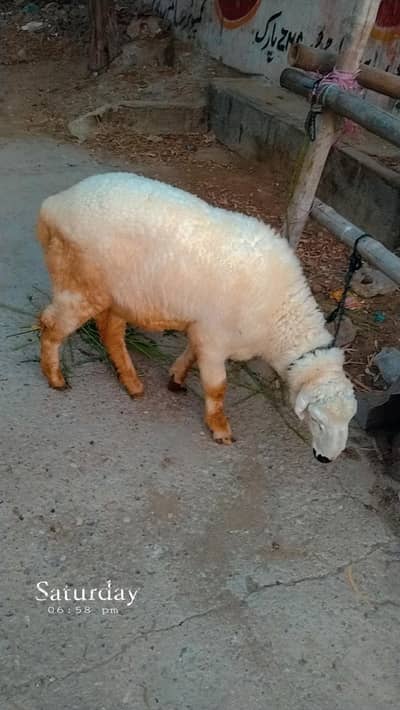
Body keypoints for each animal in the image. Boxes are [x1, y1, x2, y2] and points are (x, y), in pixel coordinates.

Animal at [37, 172, 357, 462]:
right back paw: (56, 377)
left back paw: (131, 382)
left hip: (116, 293)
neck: (281, 317)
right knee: (51, 324)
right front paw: (220, 429)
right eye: (317, 421)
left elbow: (191, 354)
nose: (325, 459)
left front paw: (176, 378)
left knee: (110, 332)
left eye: (349, 421)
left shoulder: (204, 329)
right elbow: (217, 388)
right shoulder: (216, 338)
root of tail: (54, 205)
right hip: (80, 283)